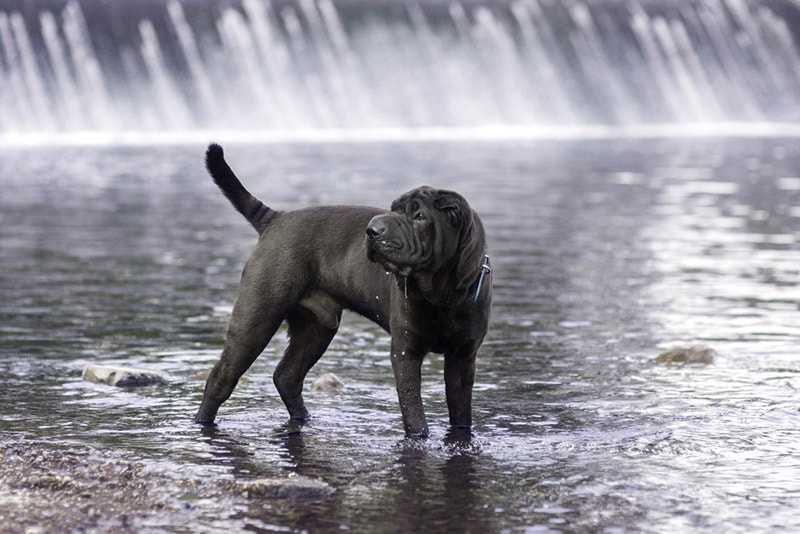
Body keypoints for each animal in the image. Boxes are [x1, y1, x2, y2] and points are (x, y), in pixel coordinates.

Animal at [197, 143, 490, 440]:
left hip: (316, 328)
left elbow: (461, 411)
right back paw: (202, 422)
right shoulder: (406, 351)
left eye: (419, 217)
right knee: (221, 378)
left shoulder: (463, 358)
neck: (441, 294)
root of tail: (275, 218)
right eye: (393, 209)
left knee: (287, 376)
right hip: (256, 320)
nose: (373, 230)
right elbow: (414, 410)